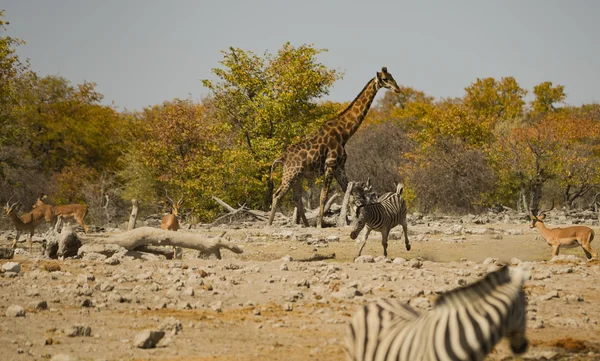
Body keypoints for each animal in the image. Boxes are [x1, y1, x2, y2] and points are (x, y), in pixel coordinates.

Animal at [268, 66, 400, 226]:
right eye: (385, 79)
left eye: (392, 76)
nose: (397, 89)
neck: (344, 134)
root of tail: (282, 158)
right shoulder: (330, 165)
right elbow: (324, 196)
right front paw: (320, 224)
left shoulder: (340, 167)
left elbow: (349, 195)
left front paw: (349, 222)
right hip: (291, 175)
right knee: (277, 195)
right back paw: (269, 224)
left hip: (297, 177)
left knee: (296, 198)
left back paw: (305, 225)